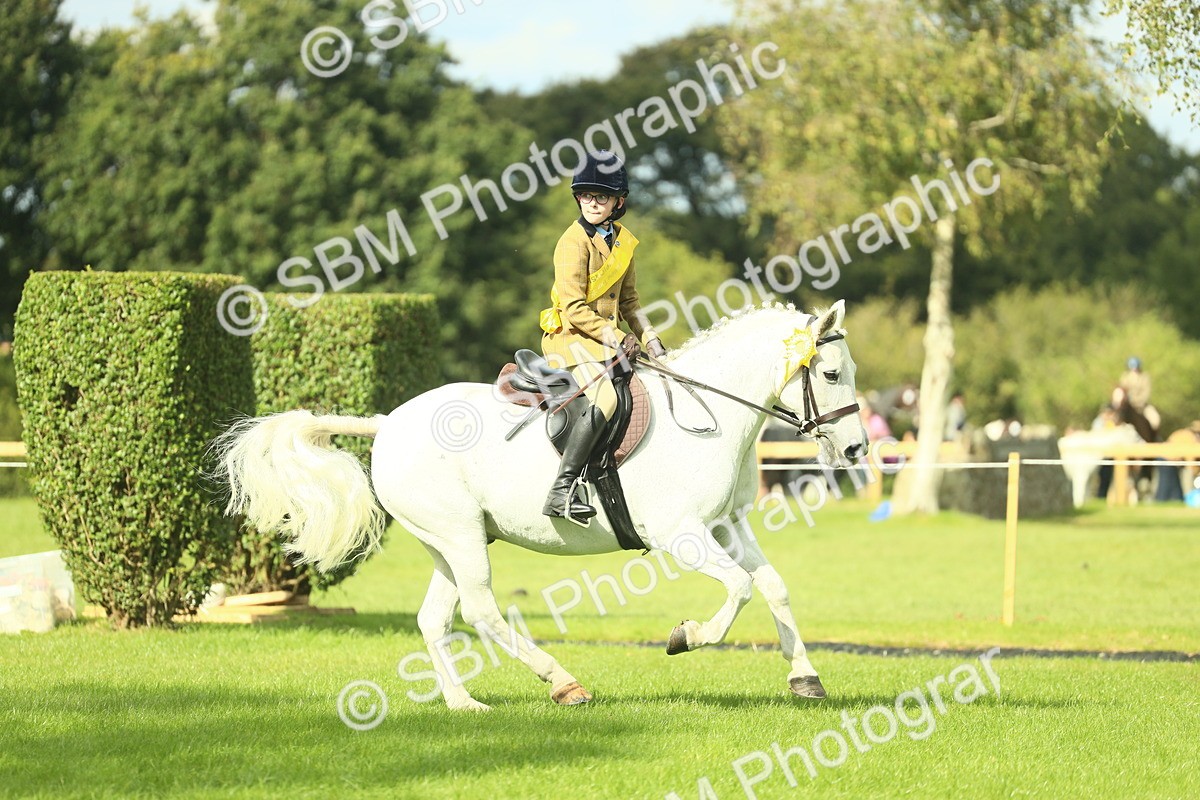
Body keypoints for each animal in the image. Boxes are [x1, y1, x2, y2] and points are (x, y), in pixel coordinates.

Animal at [214, 300, 867, 710]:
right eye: (832, 373)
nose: (858, 448)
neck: (709, 416)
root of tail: (387, 422)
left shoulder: (726, 526)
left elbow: (773, 586)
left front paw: (806, 678)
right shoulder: (680, 534)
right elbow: (738, 589)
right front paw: (685, 636)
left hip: (447, 541)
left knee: (435, 618)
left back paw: (463, 702)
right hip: (460, 537)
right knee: (482, 612)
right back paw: (563, 683)